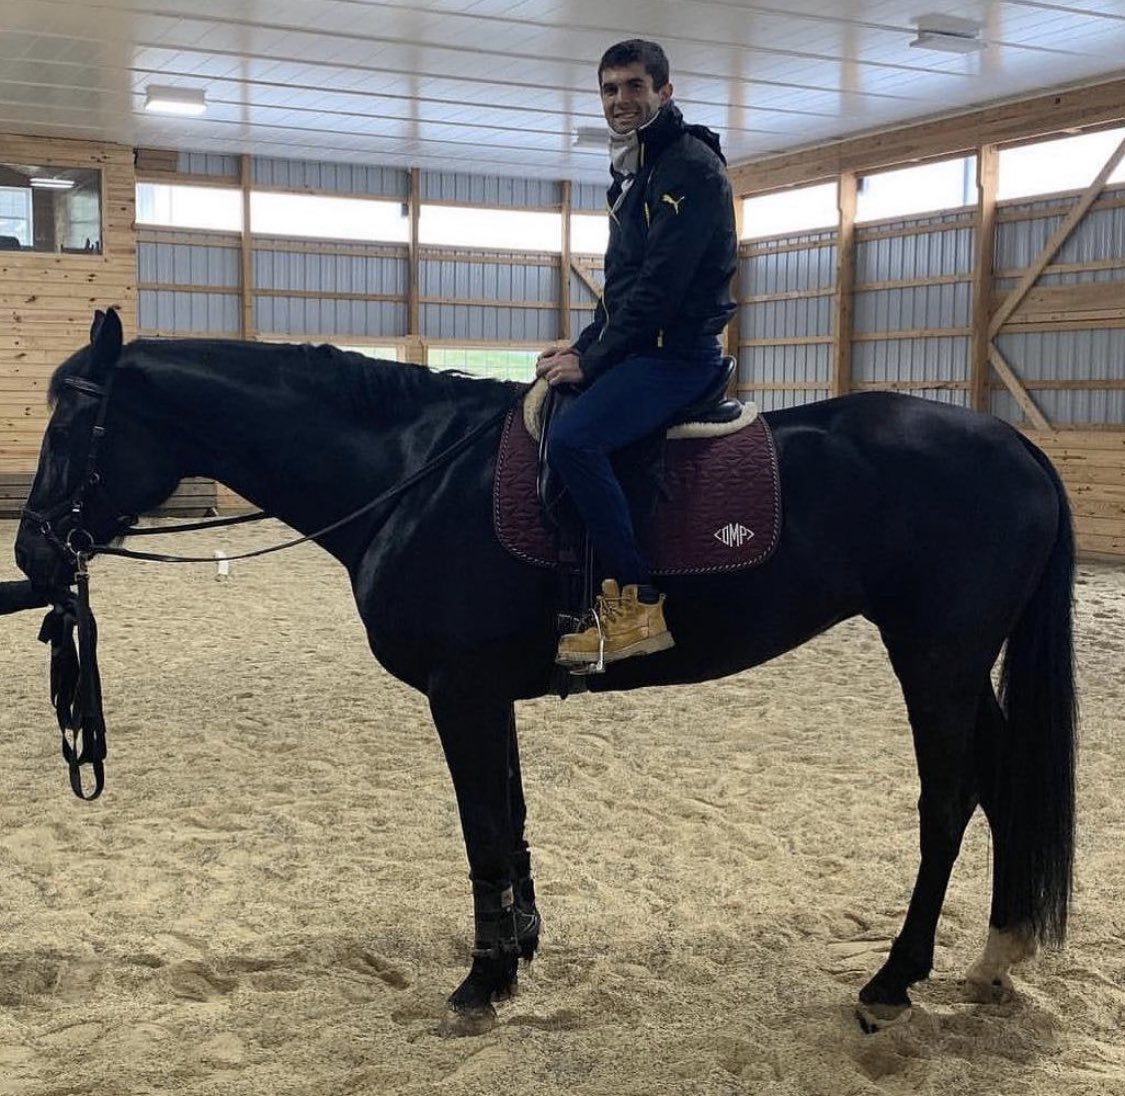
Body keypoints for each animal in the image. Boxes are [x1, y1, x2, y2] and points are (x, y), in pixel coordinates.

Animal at [15, 308, 1076, 1033]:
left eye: (69, 427)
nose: (32, 555)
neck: (411, 473)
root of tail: (1015, 445)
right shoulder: (488, 696)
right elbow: (511, 818)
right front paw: (518, 948)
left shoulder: (462, 693)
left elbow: (484, 825)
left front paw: (483, 981)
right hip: (957, 665)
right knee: (999, 783)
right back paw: (997, 956)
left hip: (934, 660)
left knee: (948, 800)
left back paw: (894, 979)